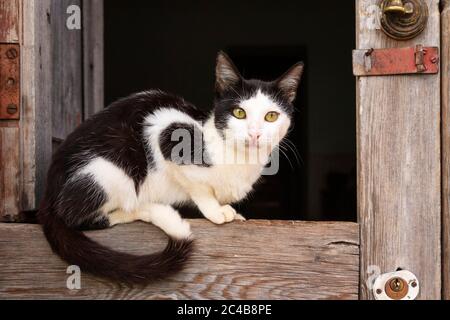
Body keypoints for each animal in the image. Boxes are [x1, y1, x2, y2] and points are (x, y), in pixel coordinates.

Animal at [37, 51, 302, 284]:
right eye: (239, 112)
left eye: (271, 116)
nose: (255, 134)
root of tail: (48, 191)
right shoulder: (165, 127)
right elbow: (199, 187)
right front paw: (215, 210)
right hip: (109, 169)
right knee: (79, 217)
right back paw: (146, 209)